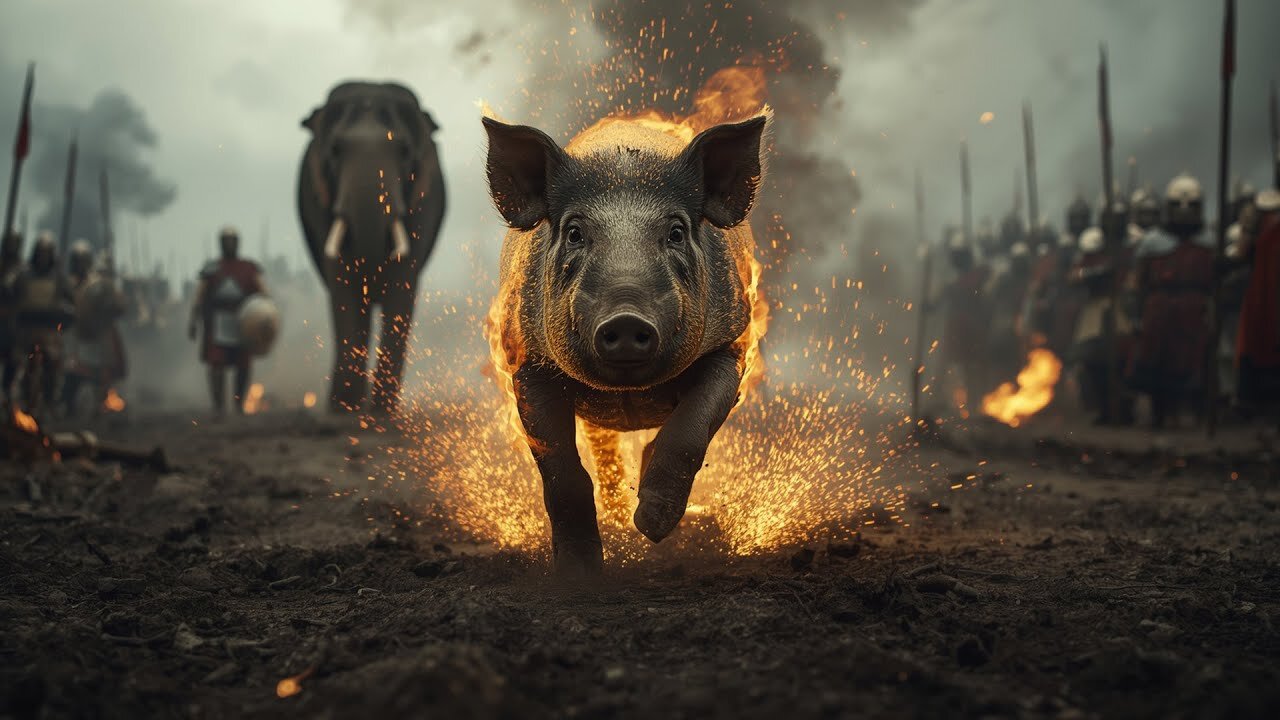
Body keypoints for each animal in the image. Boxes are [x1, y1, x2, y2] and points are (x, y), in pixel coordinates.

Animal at [298, 81, 446, 415]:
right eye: (336, 150)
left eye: (403, 151)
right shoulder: (319, 202)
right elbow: (341, 282)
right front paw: (345, 410)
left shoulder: (423, 202)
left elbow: (404, 281)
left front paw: (382, 413)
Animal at [482, 111, 769, 574]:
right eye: (575, 232)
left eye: (675, 232)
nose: (627, 318)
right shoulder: (526, 362)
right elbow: (562, 472)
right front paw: (579, 574)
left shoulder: (731, 348)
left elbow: (688, 433)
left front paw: (652, 529)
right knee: (603, 455)